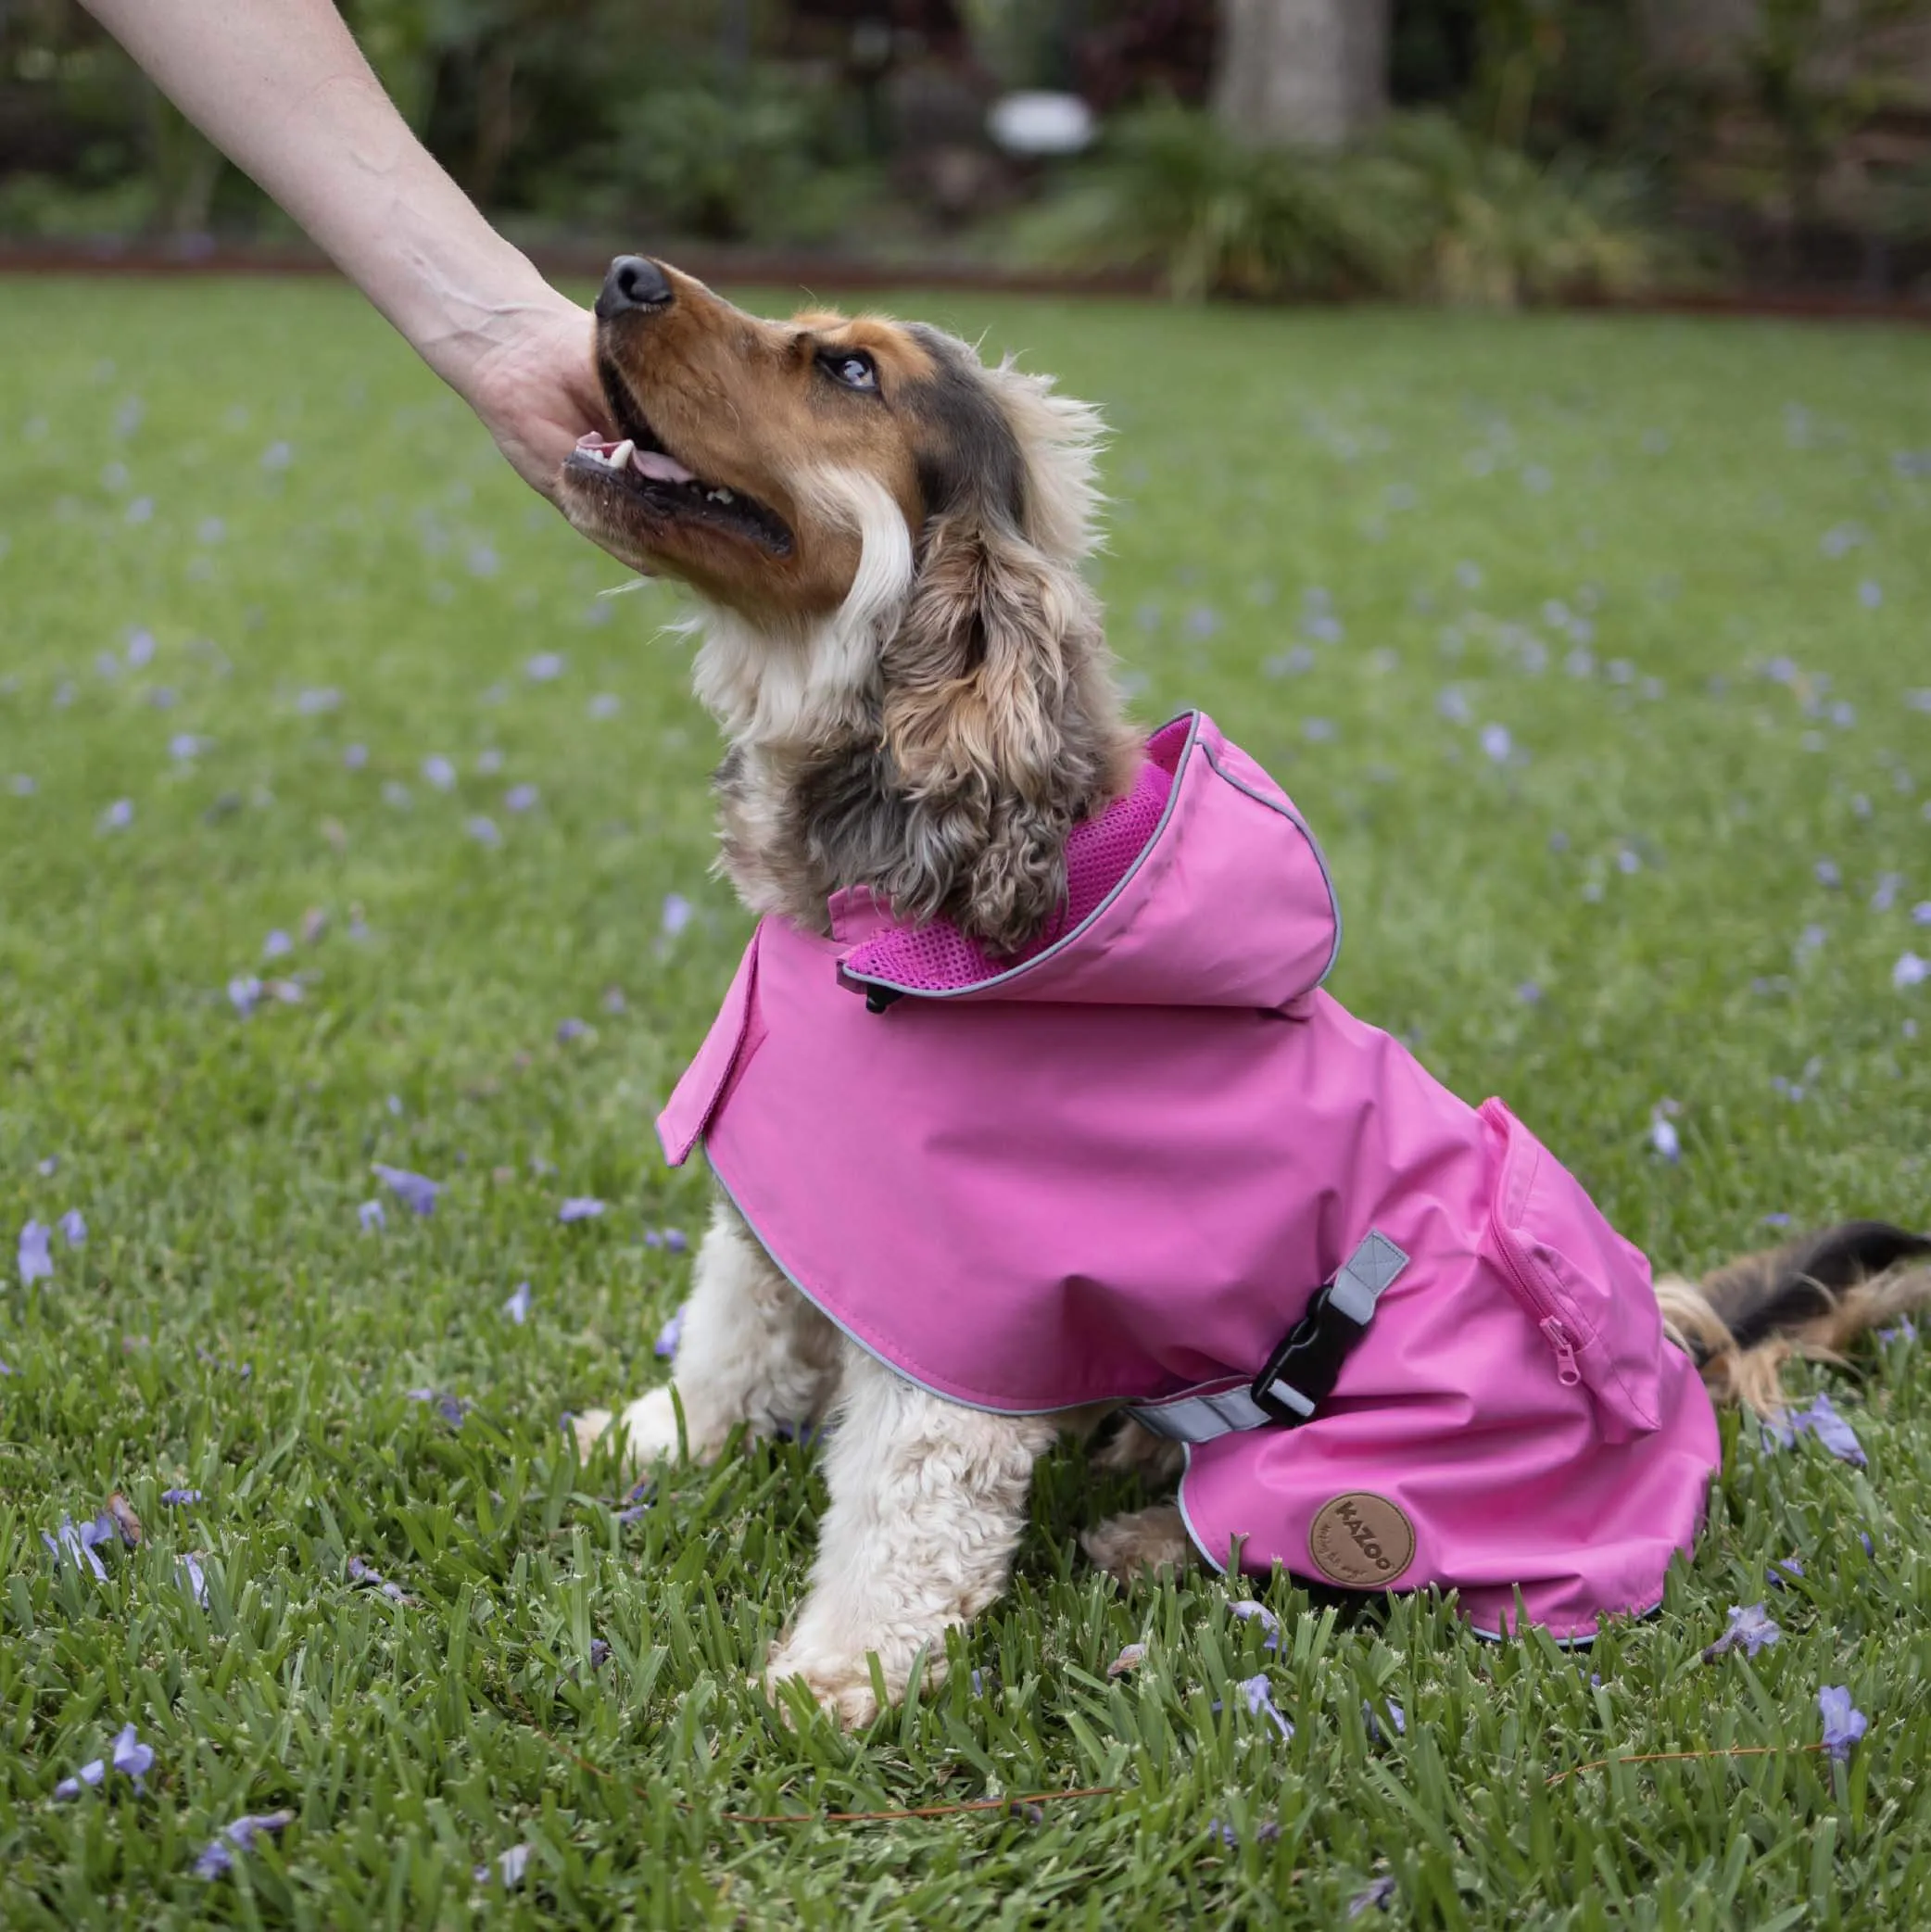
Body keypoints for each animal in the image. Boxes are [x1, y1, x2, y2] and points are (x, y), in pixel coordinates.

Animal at [556, 253, 1931, 1723]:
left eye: (850, 370)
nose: (624, 272)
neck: (870, 914)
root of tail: (1678, 1366)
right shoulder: (783, 1213)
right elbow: (729, 1342)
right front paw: (644, 1442)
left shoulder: (954, 1323)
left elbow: (901, 1521)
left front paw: (834, 1679)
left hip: (1343, 1470)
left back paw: (1146, 1535)